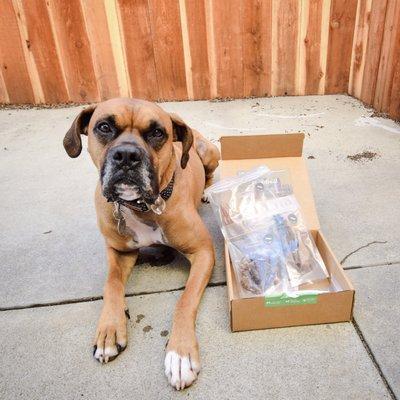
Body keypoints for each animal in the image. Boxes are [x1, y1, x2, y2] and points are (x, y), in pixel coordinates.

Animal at [63, 98, 219, 390]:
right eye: (104, 127)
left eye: (157, 133)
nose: (126, 155)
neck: (140, 206)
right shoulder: (118, 251)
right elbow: (112, 284)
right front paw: (109, 329)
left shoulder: (203, 252)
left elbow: (184, 300)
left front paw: (179, 354)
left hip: (209, 152)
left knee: (211, 174)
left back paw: (207, 191)